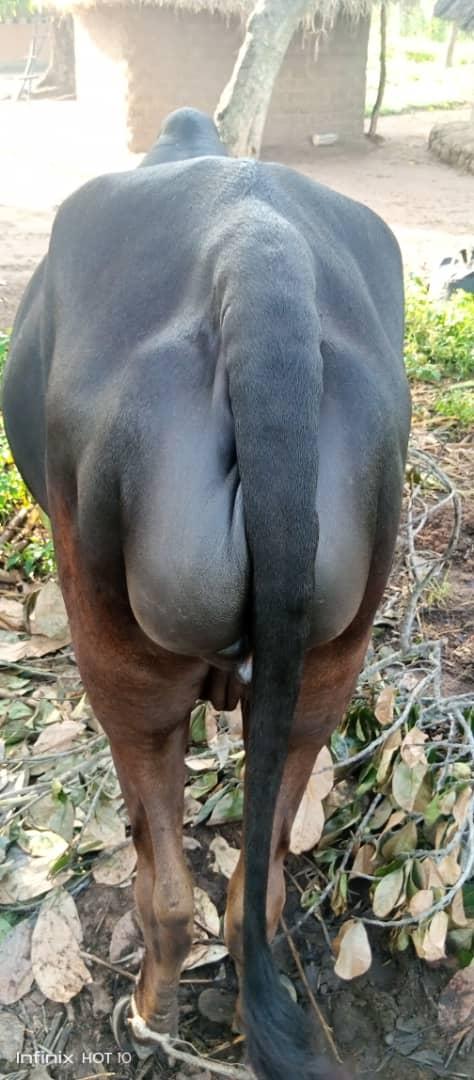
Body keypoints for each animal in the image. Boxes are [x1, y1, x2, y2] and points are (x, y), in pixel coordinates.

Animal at [3, 108, 411, 1080]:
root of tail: (256, 256)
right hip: (328, 666)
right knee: (254, 894)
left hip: (125, 667)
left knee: (168, 895)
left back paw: (151, 1018)